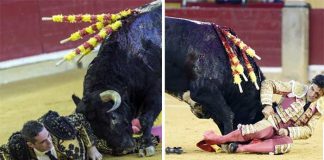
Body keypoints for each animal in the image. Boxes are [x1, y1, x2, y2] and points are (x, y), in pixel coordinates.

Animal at [72, 1, 161, 155]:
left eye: (113, 117)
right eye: (94, 129)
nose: (124, 148)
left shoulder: (156, 91)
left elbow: (146, 118)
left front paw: (147, 146)